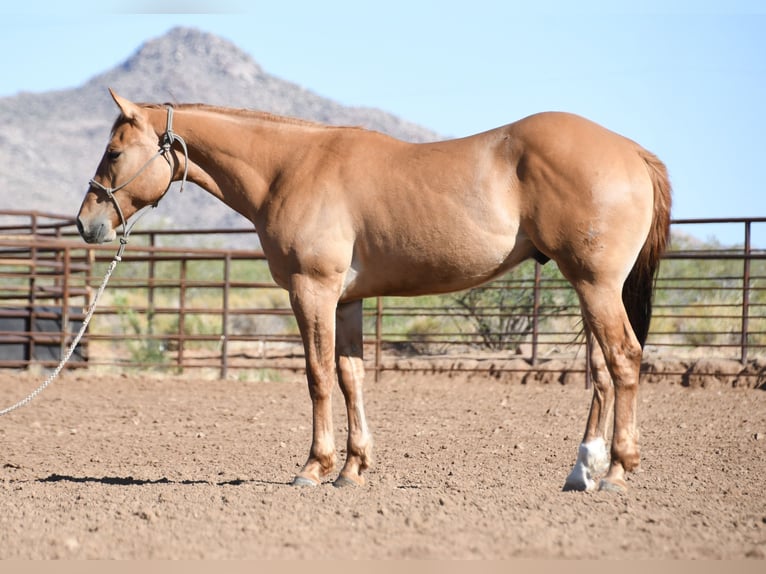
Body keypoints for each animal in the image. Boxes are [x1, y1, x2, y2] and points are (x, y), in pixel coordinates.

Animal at [77, 89, 671, 492]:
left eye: (113, 152)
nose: (86, 224)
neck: (288, 167)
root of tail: (632, 152)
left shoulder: (311, 291)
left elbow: (317, 377)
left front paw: (313, 468)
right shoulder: (346, 300)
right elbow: (350, 376)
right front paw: (352, 468)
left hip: (595, 285)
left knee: (623, 359)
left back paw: (617, 470)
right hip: (589, 288)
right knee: (601, 370)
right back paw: (582, 470)